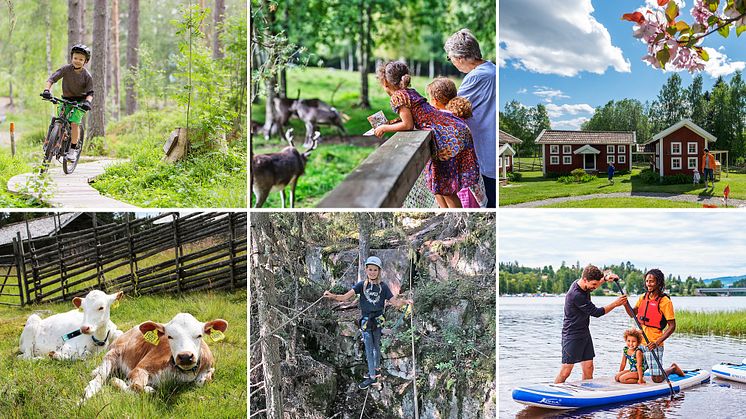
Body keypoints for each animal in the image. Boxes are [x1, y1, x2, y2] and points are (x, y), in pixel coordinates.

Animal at [81, 314, 227, 402]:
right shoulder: (140, 368)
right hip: (112, 353)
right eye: (169, 336)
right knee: (98, 379)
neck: (183, 374)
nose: (185, 356)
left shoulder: (209, 366)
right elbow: (137, 387)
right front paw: (118, 382)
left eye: (199, 335)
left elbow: (203, 380)